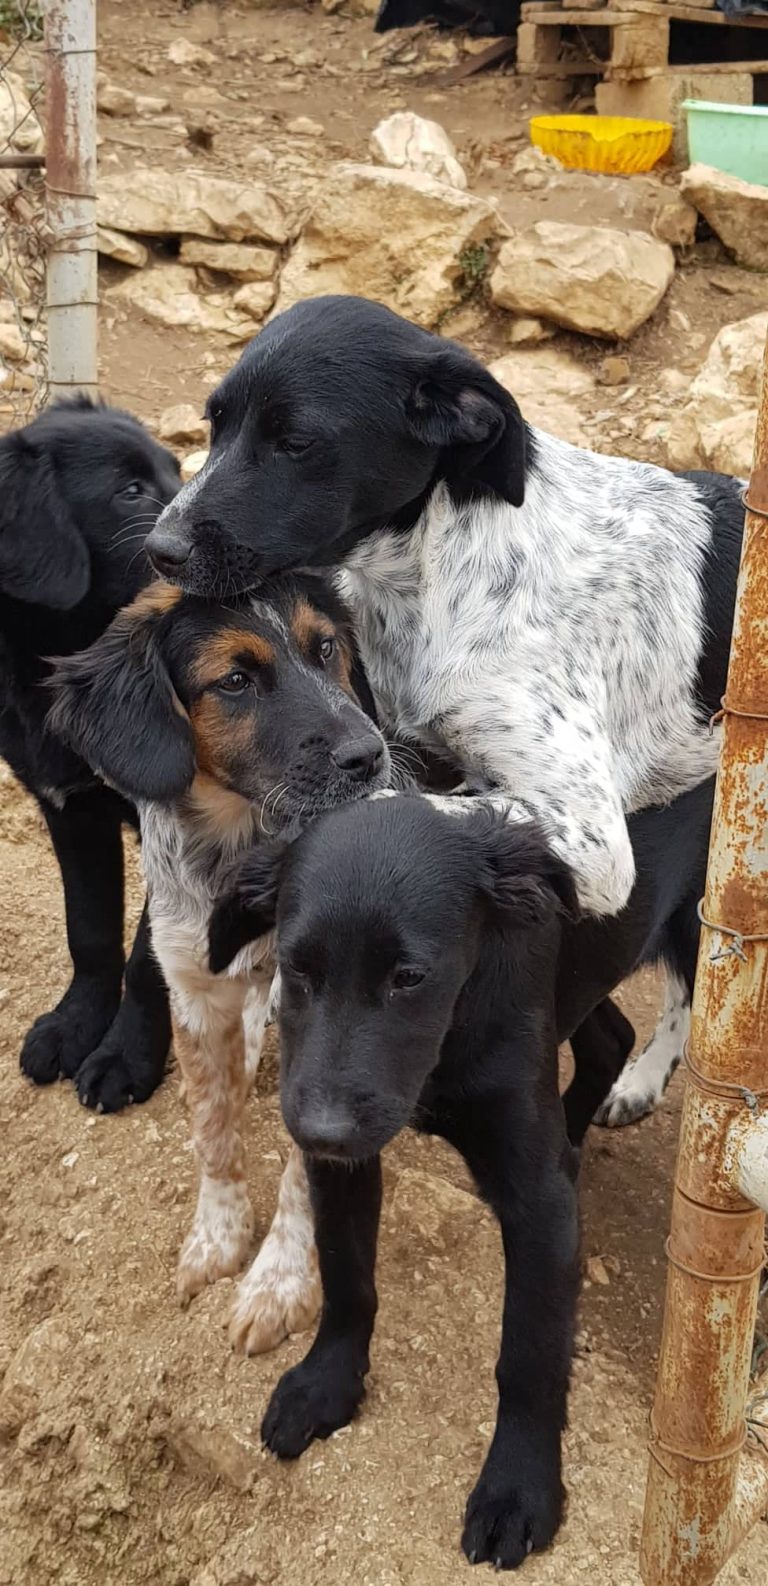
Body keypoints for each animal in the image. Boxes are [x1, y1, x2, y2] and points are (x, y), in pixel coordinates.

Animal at [0, 399, 180, 1116]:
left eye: (179, 471)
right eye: (129, 490)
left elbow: (148, 957)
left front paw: (126, 1056)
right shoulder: (70, 810)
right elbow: (92, 933)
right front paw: (76, 1026)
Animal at [49, 577, 390, 1357]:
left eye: (325, 648)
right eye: (234, 680)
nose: (371, 754)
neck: (241, 851)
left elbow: (304, 1172)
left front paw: (280, 1284)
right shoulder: (191, 991)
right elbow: (211, 1128)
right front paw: (218, 1241)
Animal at [144, 291, 742, 1122]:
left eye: (295, 441)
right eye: (215, 424)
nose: (158, 550)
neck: (438, 572)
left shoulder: (593, 836)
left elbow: (386, 807)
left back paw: (648, 1076)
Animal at [207, 780, 714, 1560]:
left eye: (410, 977)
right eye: (297, 970)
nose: (319, 1132)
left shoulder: (538, 1203)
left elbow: (529, 1353)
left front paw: (518, 1488)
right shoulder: (345, 1161)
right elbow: (348, 1279)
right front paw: (327, 1383)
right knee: (610, 1036)